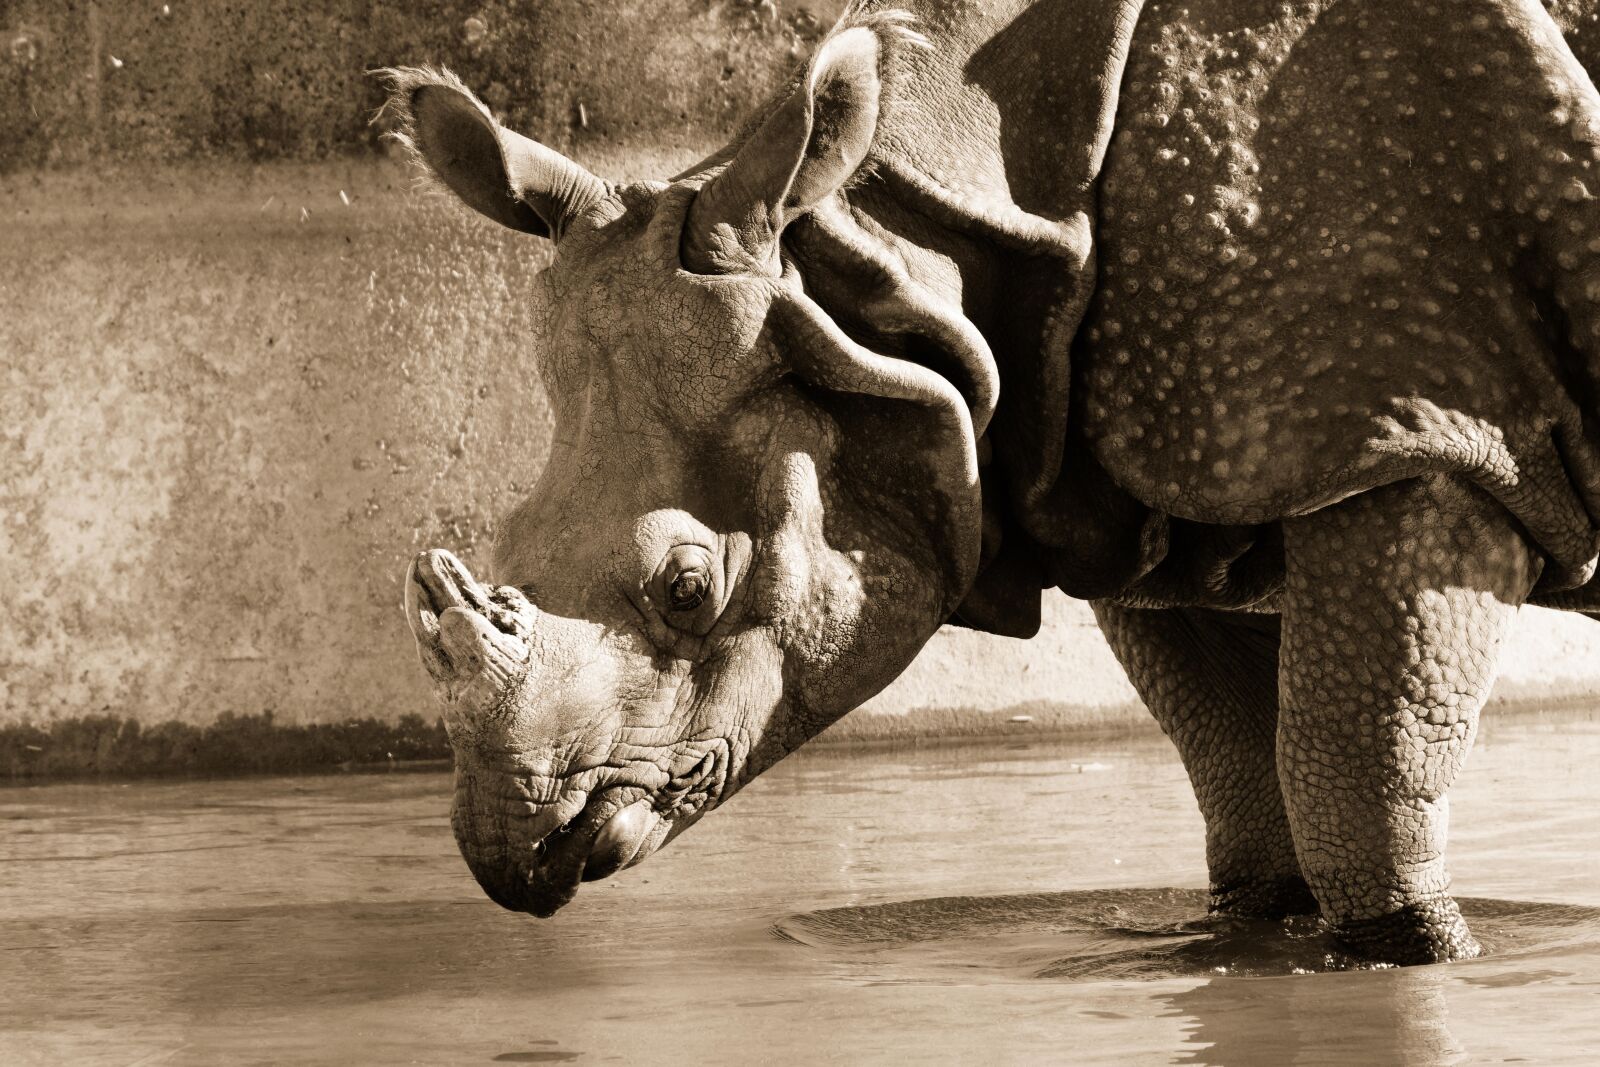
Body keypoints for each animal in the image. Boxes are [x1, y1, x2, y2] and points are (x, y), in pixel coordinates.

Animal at [390, 0, 1600, 965]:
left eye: (687, 587)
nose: (510, 851)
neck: (899, 275)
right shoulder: (1181, 489)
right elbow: (1243, 777)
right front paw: (1256, 937)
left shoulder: (1426, 434)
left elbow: (1358, 771)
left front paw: (1415, 951)